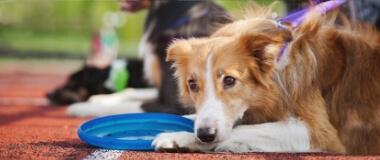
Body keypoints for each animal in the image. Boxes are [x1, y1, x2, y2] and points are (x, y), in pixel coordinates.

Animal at [47, 0, 229, 117]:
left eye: (71, 82)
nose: (48, 94)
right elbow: (130, 91)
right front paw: (100, 99)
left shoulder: (178, 105)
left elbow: (135, 106)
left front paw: (81, 107)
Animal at [151, 6, 380, 154]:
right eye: (192, 84)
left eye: (230, 80)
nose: (205, 134)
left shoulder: (321, 132)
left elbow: (244, 129)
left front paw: (183, 136)